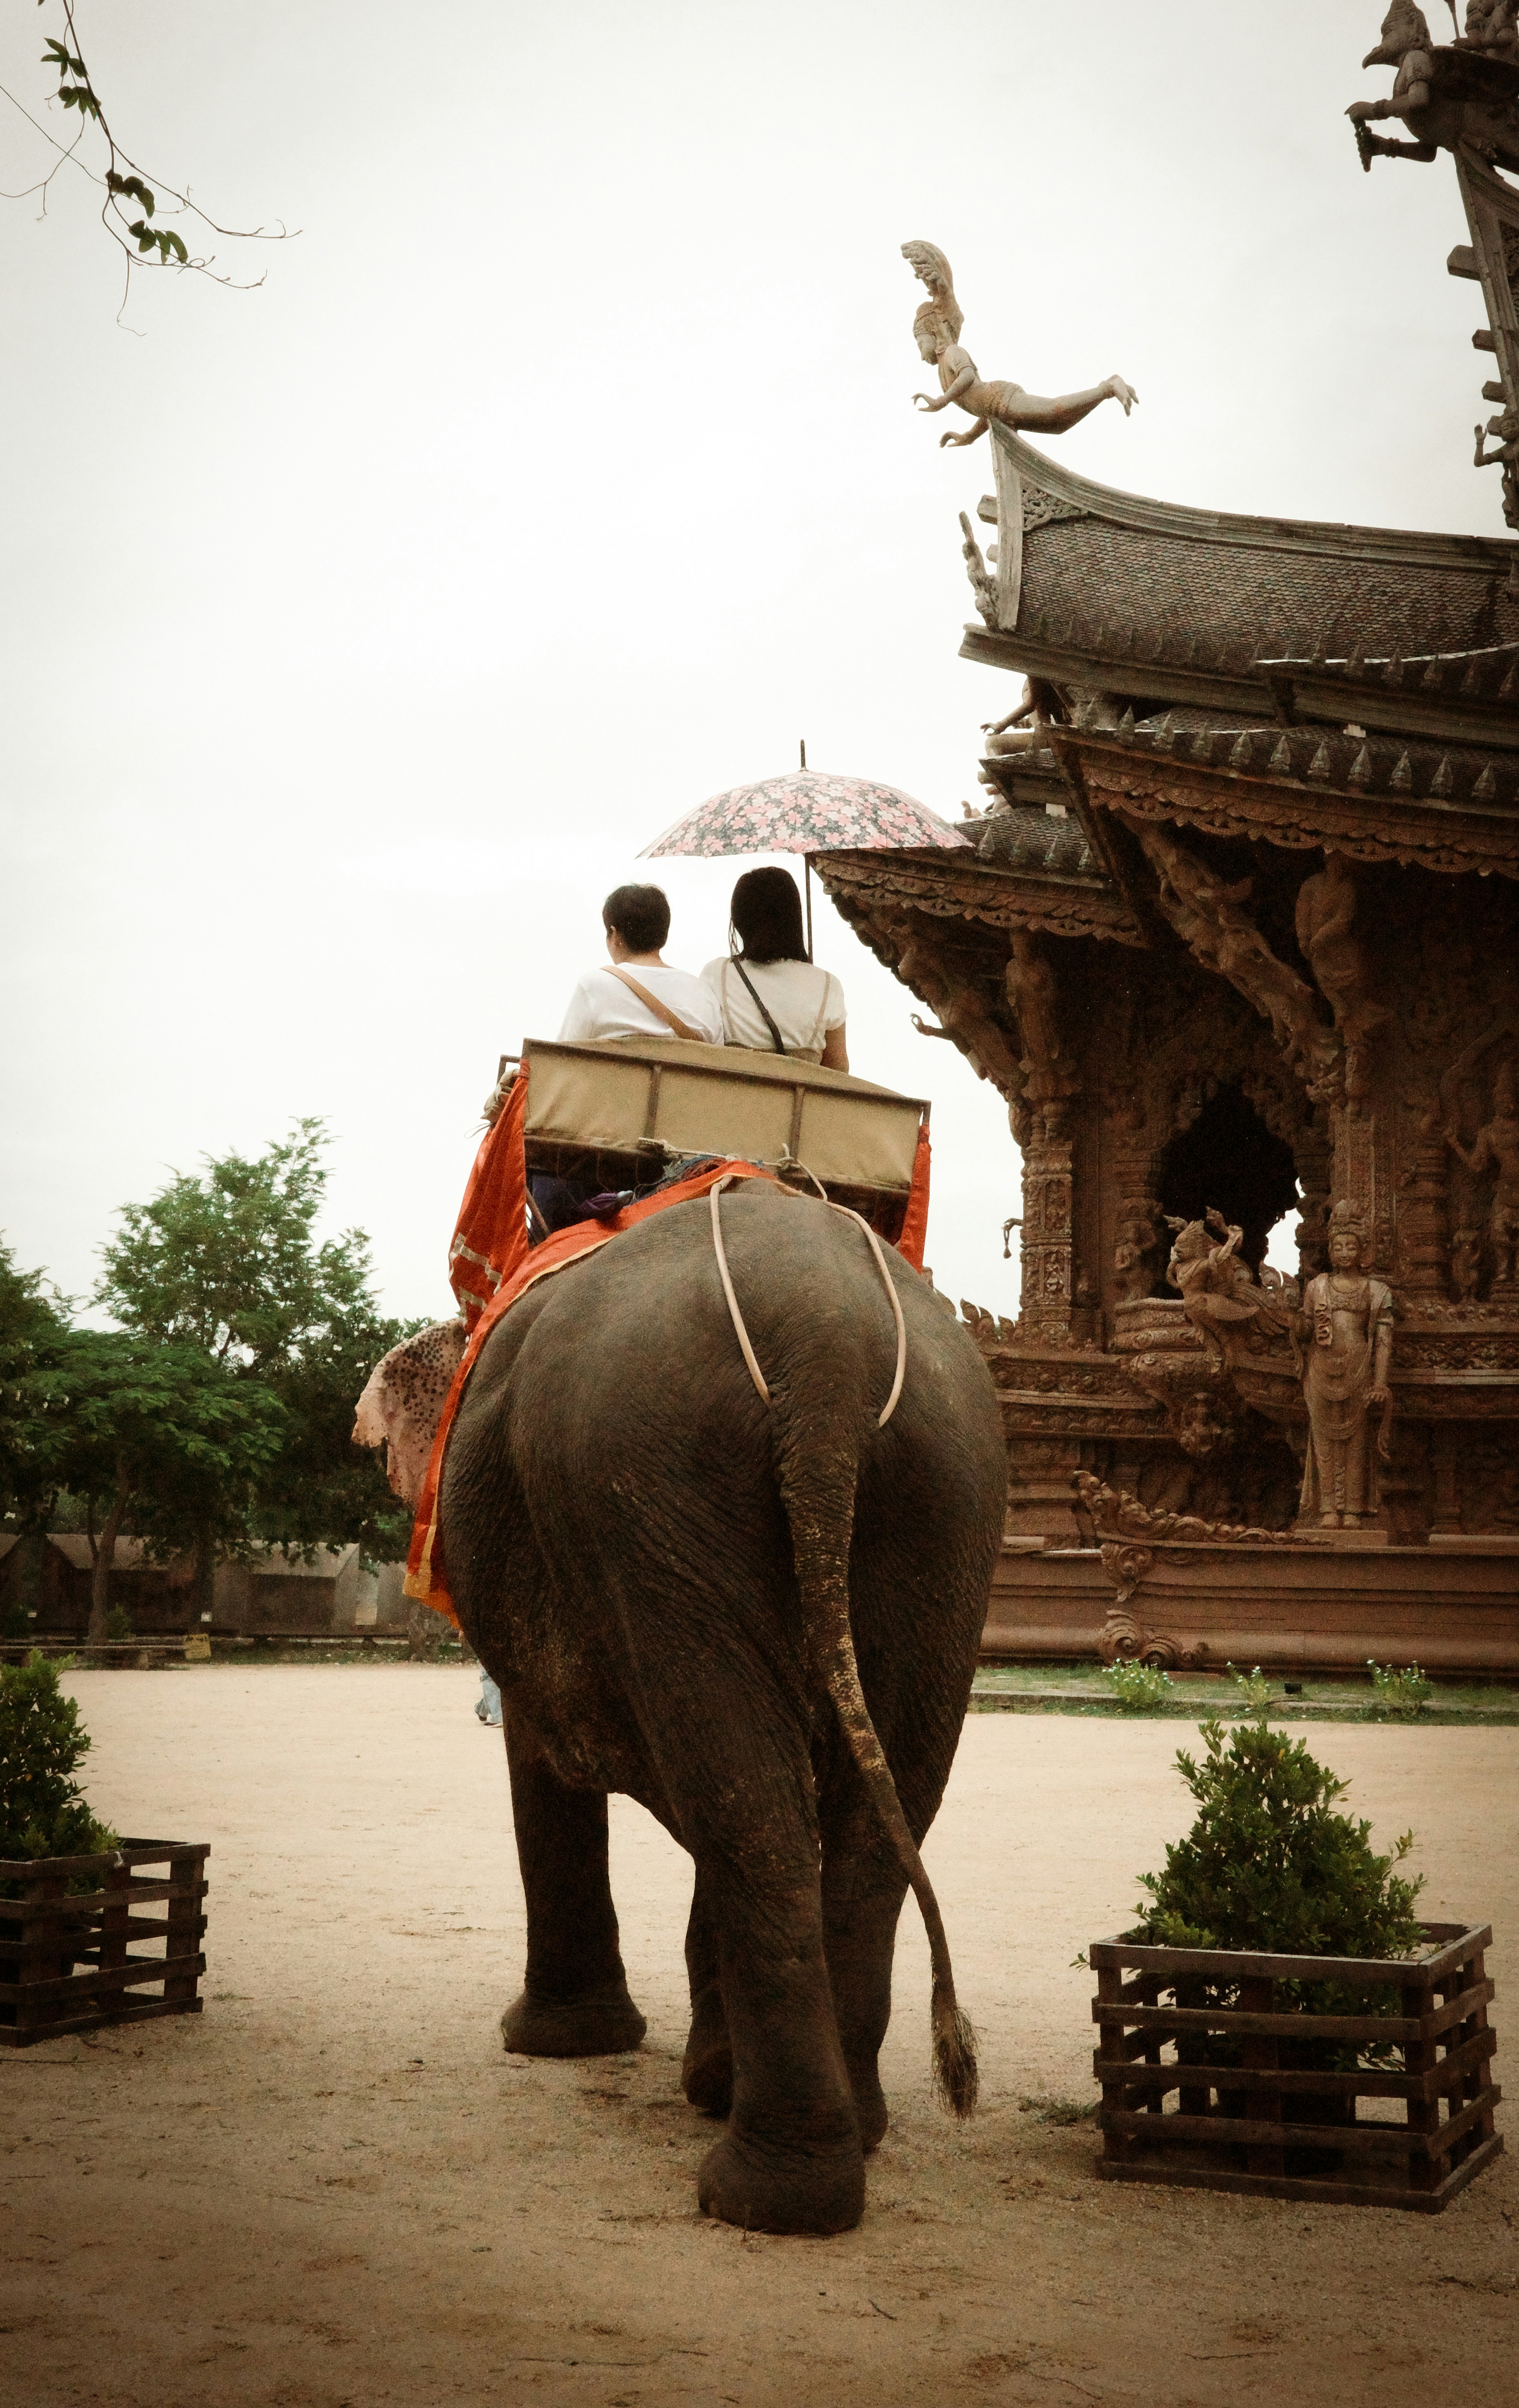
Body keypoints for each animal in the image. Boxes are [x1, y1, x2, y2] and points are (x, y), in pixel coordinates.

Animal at [392, 1179, 1007, 2235]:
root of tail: (824, 1341)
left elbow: (546, 1759)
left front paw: (554, 2042)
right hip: (945, 1495)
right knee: (848, 1808)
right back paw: (831, 2128)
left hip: (648, 1473)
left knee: (742, 1801)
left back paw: (757, 2190)